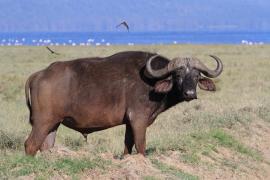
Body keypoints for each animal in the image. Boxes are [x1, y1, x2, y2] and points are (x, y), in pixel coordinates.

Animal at [24, 51, 223, 156]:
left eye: (196, 75)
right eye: (178, 75)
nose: (190, 94)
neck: (151, 83)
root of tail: (40, 74)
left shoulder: (129, 123)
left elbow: (127, 146)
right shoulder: (139, 120)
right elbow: (141, 146)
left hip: (53, 124)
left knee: (46, 146)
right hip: (43, 122)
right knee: (30, 144)